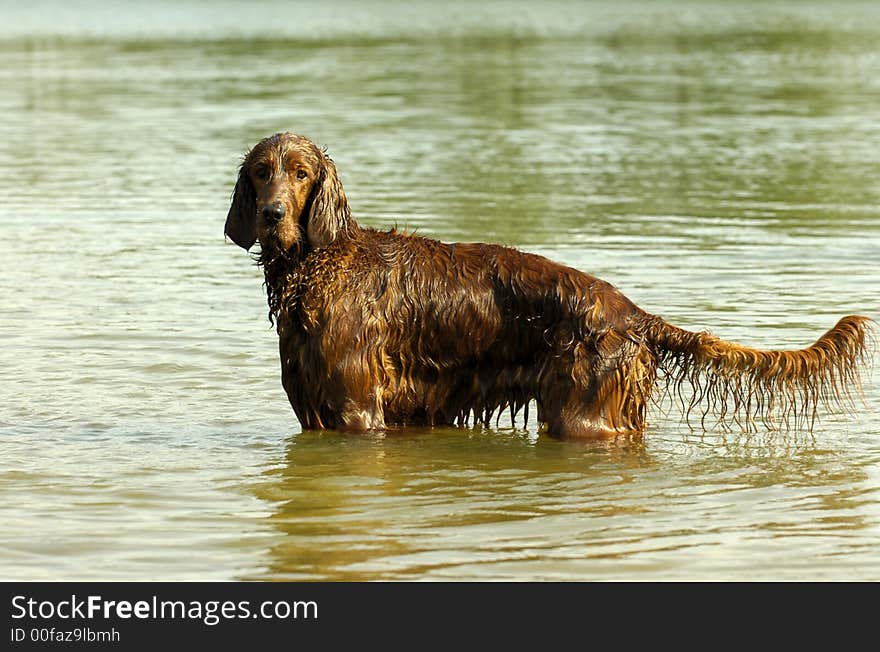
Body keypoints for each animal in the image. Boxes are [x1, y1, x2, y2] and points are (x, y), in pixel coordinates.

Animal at [223, 132, 868, 438]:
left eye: (301, 174)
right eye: (260, 172)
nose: (273, 215)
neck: (318, 265)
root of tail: (632, 314)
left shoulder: (358, 414)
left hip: (583, 415)